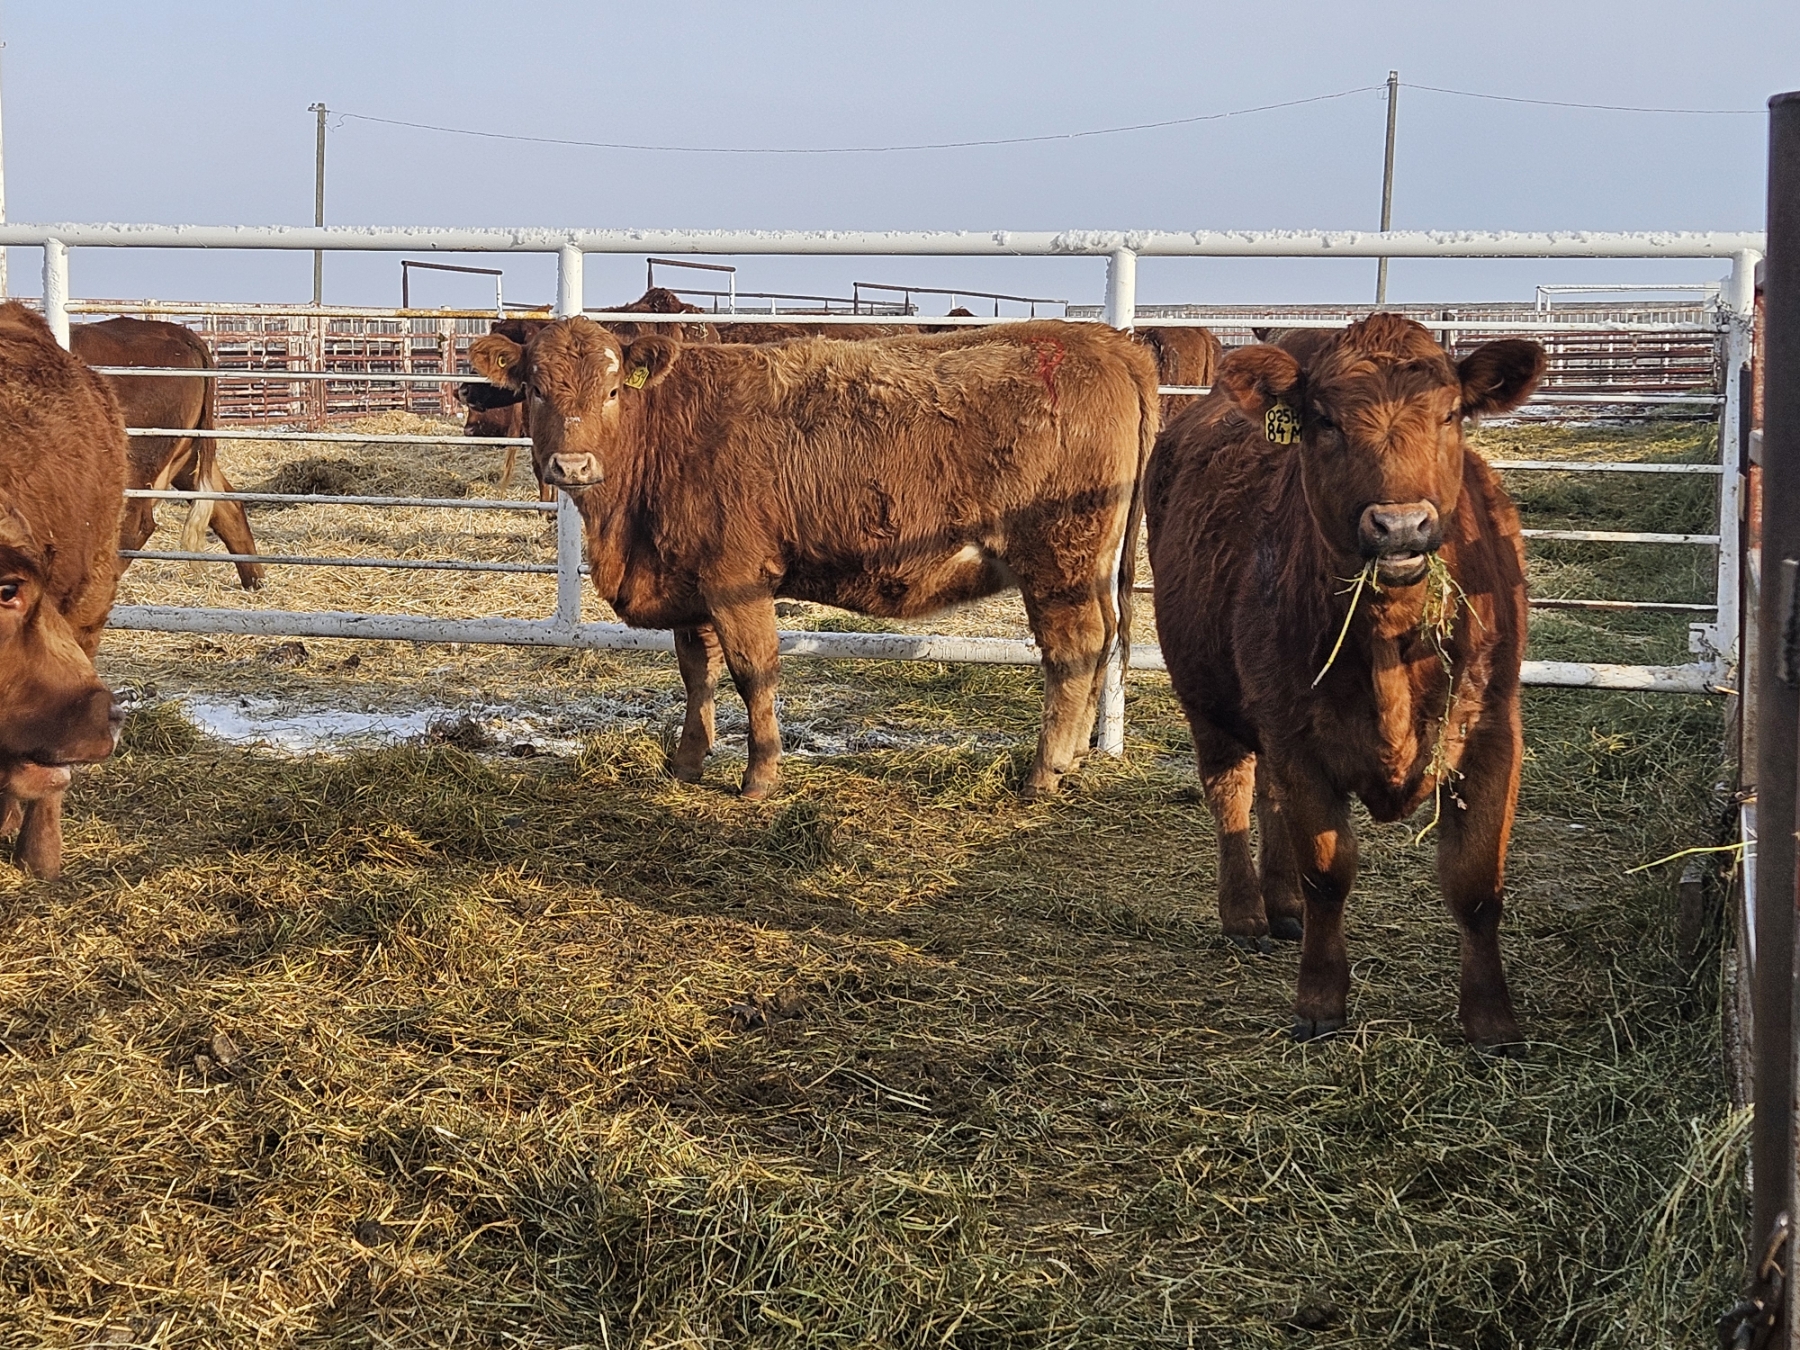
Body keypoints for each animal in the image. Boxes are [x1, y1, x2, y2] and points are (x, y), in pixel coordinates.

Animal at [69, 317, 264, 589]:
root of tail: (175, 330)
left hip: (136, 464)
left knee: (134, 527)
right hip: (189, 458)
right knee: (227, 506)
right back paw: (255, 581)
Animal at [471, 317, 1159, 800]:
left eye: (613, 389)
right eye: (536, 389)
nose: (572, 466)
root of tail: (1105, 343)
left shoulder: (737, 580)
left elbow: (754, 672)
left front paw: (759, 775)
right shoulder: (687, 583)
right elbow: (697, 674)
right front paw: (688, 761)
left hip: (1058, 563)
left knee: (1072, 650)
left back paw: (1044, 770)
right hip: (1089, 567)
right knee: (1103, 642)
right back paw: (1074, 755)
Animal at [1144, 313, 1544, 1052]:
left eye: (1451, 414)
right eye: (1324, 421)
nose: (1400, 525)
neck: (1391, 641)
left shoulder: (1492, 731)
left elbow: (1476, 882)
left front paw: (1492, 1020)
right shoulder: (1298, 737)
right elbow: (1328, 872)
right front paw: (1320, 1002)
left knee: (1266, 799)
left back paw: (1281, 906)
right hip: (1208, 697)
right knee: (1232, 792)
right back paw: (1246, 912)